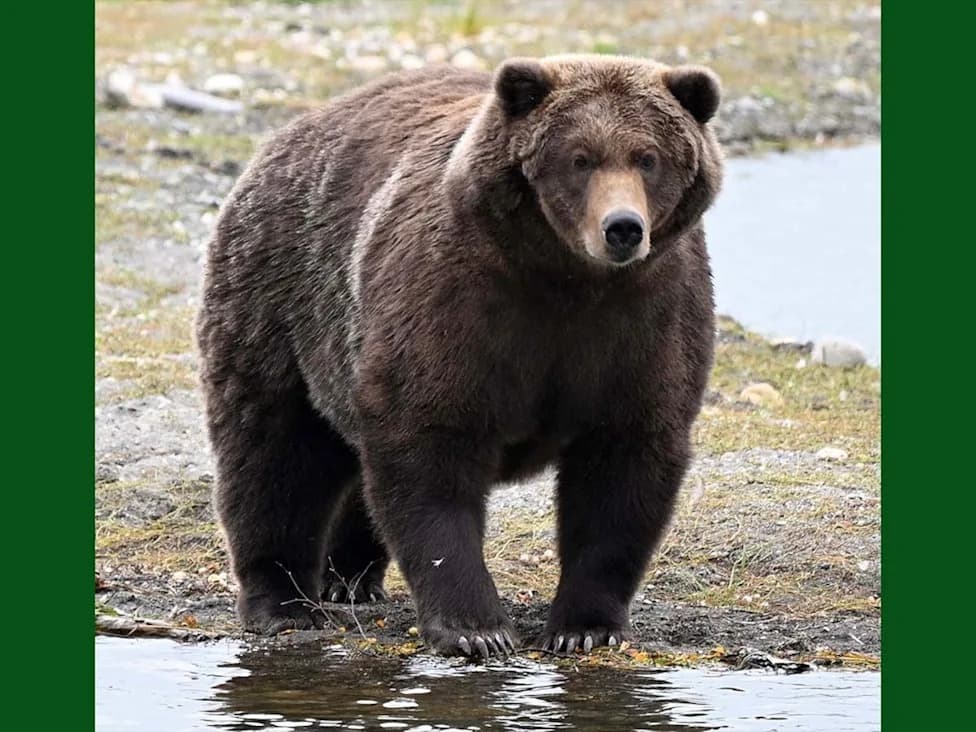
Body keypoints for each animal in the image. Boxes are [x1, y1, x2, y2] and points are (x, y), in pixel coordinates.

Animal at [196, 54, 723, 658]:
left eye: (648, 157)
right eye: (580, 158)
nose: (622, 228)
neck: (567, 279)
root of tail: (288, 134)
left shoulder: (646, 320)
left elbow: (624, 466)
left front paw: (584, 627)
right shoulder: (457, 302)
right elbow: (430, 450)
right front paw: (477, 628)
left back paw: (348, 577)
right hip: (281, 300)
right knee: (274, 452)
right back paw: (283, 603)